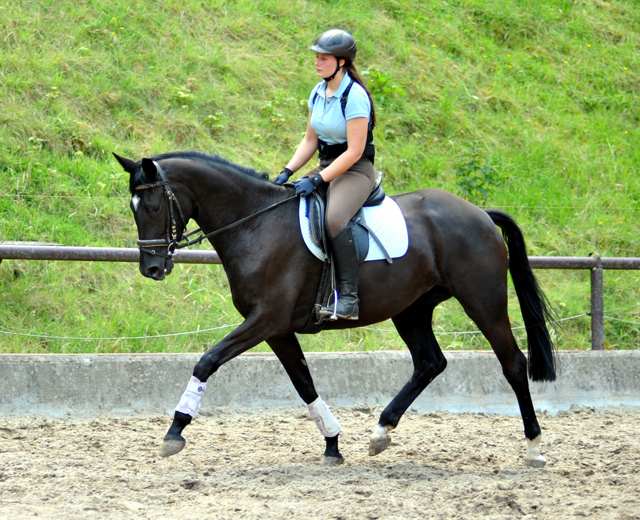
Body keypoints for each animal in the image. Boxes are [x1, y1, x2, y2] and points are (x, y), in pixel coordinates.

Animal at [114, 149, 556, 468]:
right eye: (132, 209)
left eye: (152, 207)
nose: (152, 268)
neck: (254, 224)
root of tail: (479, 213)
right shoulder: (277, 329)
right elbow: (304, 383)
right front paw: (332, 443)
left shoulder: (265, 320)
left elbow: (207, 361)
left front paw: (175, 431)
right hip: (411, 309)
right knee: (430, 362)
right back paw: (380, 432)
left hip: (482, 300)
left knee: (513, 363)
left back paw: (534, 448)